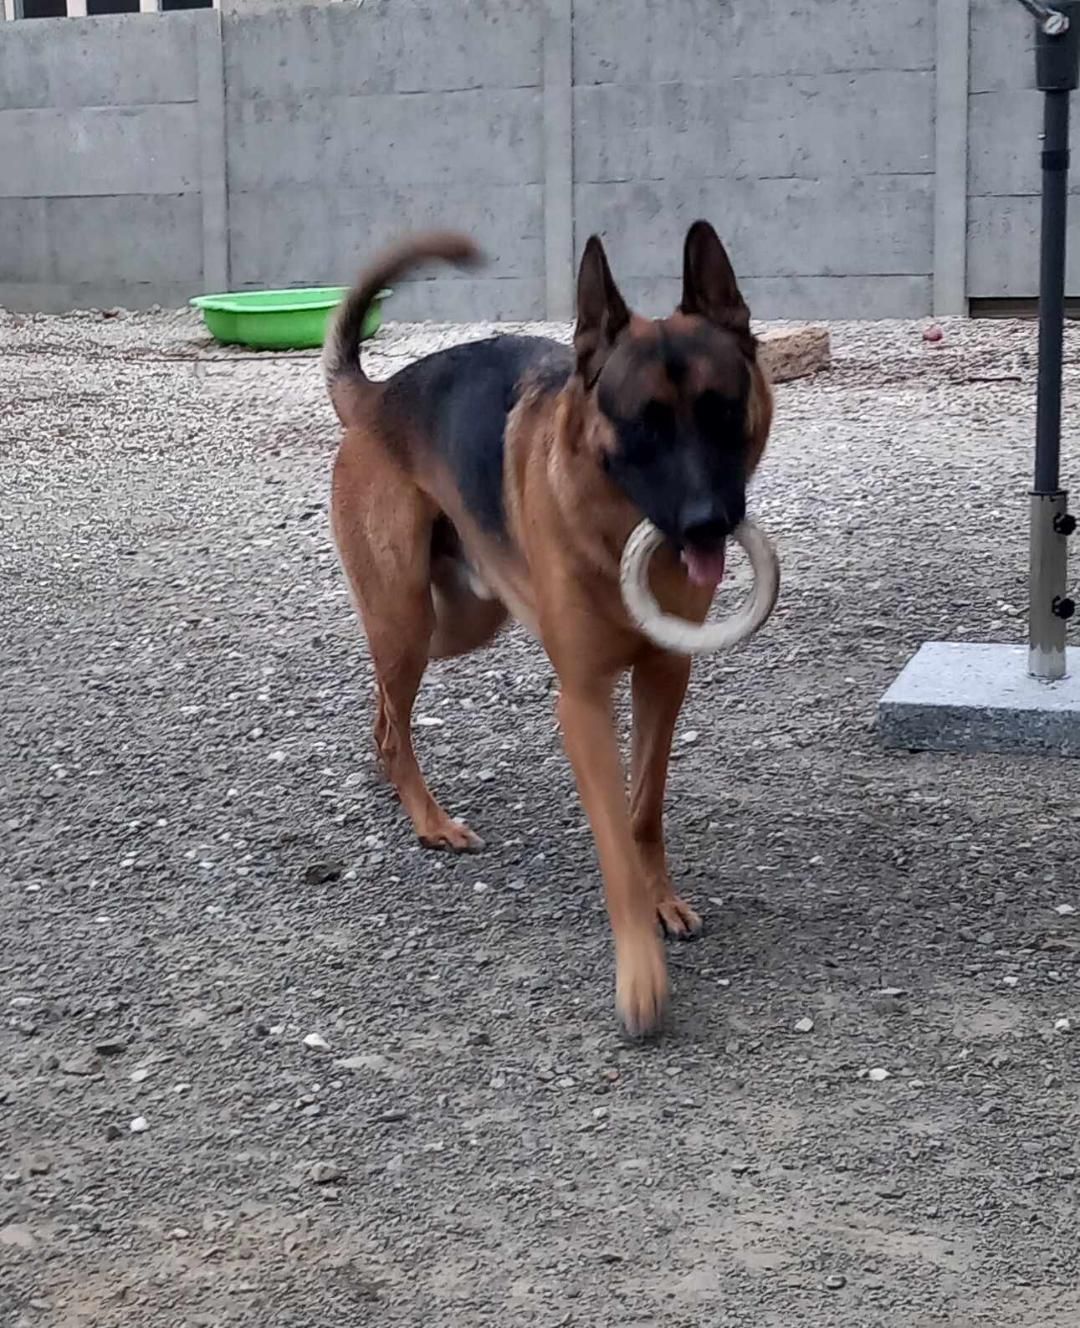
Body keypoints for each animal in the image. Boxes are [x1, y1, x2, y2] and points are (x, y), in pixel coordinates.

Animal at [325, 221, 772, 1035]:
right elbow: (614, 843)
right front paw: (639, 975)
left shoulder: (665, 677)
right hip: (407, 618)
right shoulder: (583, 703)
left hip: (455, 621)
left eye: (721, 409)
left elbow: (644, 810)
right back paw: (428, 818)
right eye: (642, 424)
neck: (611, 529)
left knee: (384, 712)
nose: (707, 524)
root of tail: (376, 398)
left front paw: (662, 900)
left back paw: (390, 775)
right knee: (394, 707)